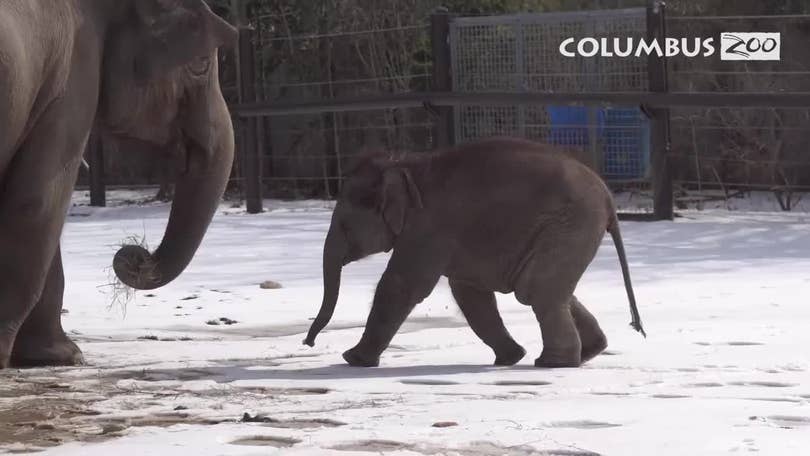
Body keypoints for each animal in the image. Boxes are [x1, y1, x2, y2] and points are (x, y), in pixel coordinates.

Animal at [304, 137, 644, 368]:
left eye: (345, 224)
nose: (308, 342)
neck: (407, 166)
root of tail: (608, 198)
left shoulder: (429, 227)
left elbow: (401, 285)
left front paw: (352, 359)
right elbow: (468, 292)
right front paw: (510, 357)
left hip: (571, 223)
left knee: (536, 290)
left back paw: (552, 363)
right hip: (570, 229)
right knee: (545, 288)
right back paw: (590, 351)